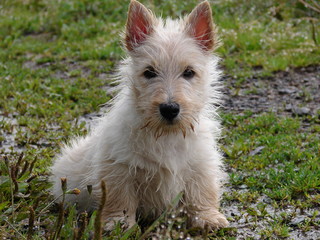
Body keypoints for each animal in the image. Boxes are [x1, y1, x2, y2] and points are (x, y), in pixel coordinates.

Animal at [51, 0, 229, 231]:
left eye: (189, 72)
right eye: (149, 72)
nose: (169, 108)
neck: (165, 134)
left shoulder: (201, 164)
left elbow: (202, 191)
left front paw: (207, 217)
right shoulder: (119, 168)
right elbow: (120, 198)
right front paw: (119, 223)